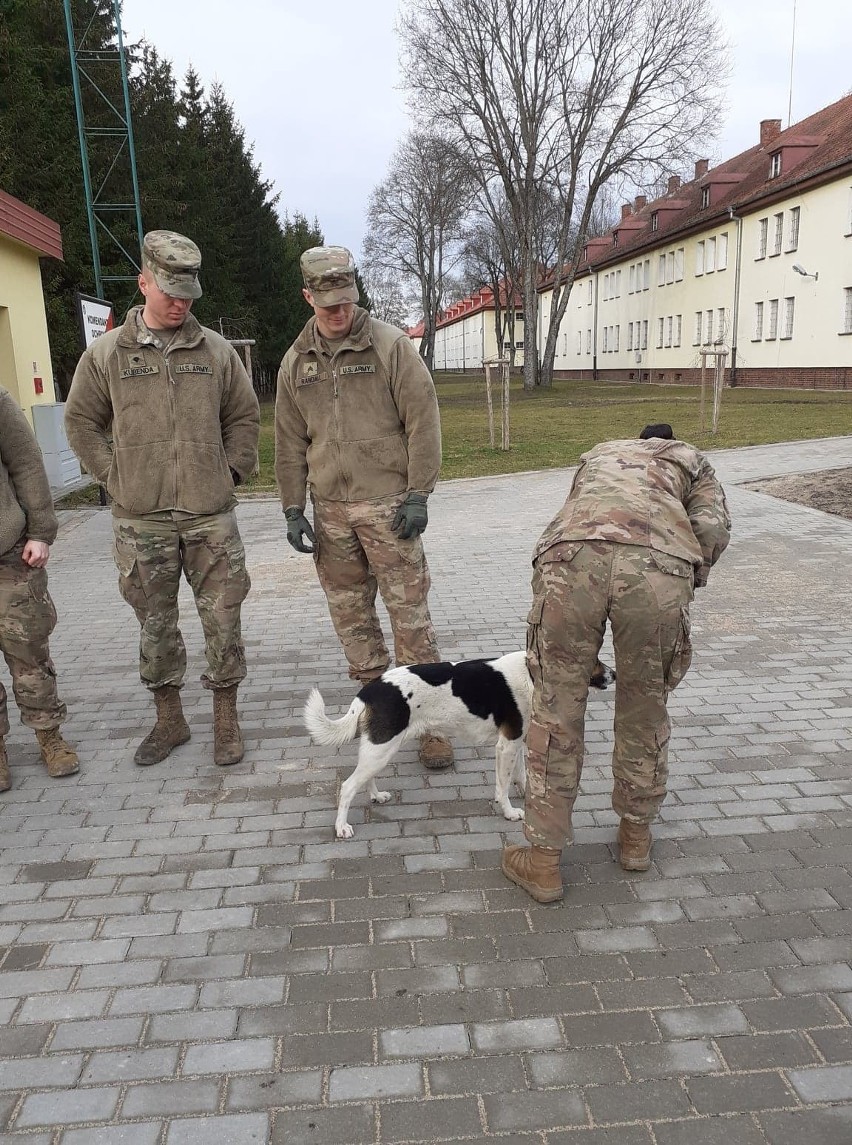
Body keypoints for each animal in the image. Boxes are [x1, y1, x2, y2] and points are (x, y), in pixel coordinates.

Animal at [302, 654, 613, 842]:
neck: (532, 674)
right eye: (594, 658)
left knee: (364, 779)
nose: (614, 674)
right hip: (382, 748)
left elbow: (520, 776)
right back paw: (341, 827)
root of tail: (368, 690)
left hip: (381, 748)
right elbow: (503, 786)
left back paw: (377, 796)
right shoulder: (506, 745)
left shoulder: (516, 743)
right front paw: (509, 812)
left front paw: (527, 795)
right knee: (348, 786)